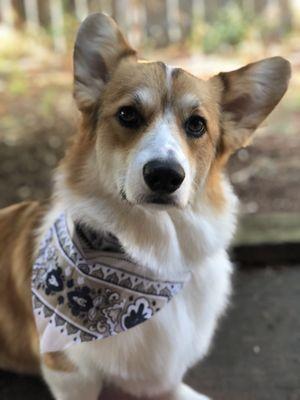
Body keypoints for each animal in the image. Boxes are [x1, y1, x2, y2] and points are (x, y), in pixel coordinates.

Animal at [0, 12, 290, 400]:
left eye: (196, 125)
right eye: (128, 115)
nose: (165, 176)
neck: (155, 255)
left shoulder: (164, 381)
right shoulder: (69, 374)